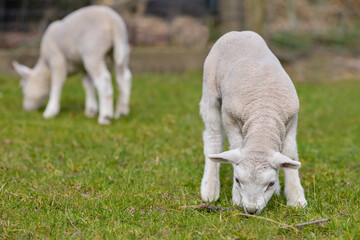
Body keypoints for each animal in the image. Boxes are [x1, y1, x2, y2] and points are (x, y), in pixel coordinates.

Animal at [200, 31, 306, 215]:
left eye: (270, 183)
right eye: (237, 180)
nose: (250, 210)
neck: (263, 114)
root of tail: (237, 32)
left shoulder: (291, 120)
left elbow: (290, 154)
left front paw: (296, 199)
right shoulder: (230, 117)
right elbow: (236, 145)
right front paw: (236, 197)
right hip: (210, 91)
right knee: (213, 137)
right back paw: (210, 189)